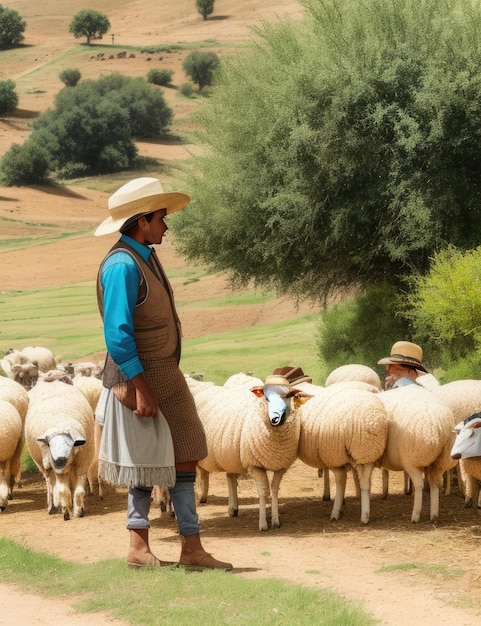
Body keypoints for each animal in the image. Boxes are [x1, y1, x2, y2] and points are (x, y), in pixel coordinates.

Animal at [25, 378, 94, 520]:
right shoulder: (57, 469)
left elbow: (79, 490)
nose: (59, 460)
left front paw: (78, 510)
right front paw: (65, 510)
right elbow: (62, 490)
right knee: (50, 483)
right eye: (50, 446)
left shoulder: (82, 464)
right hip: (44, 466)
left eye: (70, 445)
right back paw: (52, 506)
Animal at [187, 372, 302, 528]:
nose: (277, 417)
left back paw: (233, 508)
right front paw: (263, 524)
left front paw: (276, 521)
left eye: (288, 395)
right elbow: (263, 492)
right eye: (267, 396)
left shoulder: (280, 466)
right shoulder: (254, 465)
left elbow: (274, 490)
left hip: (230, 455)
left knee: (230, 477)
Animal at [294, 386, 388, 520]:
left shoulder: (333, 457)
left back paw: (348, 514)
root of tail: (372, 422)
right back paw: (364, 514)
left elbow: (340, 479)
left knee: (350, 480)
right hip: (367, 453)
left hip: (348, 453)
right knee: (365, 483)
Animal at [376, 386, 456, 520]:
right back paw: (434, 515)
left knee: (419, 484)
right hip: (441, 461)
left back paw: (415, 516)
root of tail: (435, 425)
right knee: (434, 483)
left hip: (412, 460)